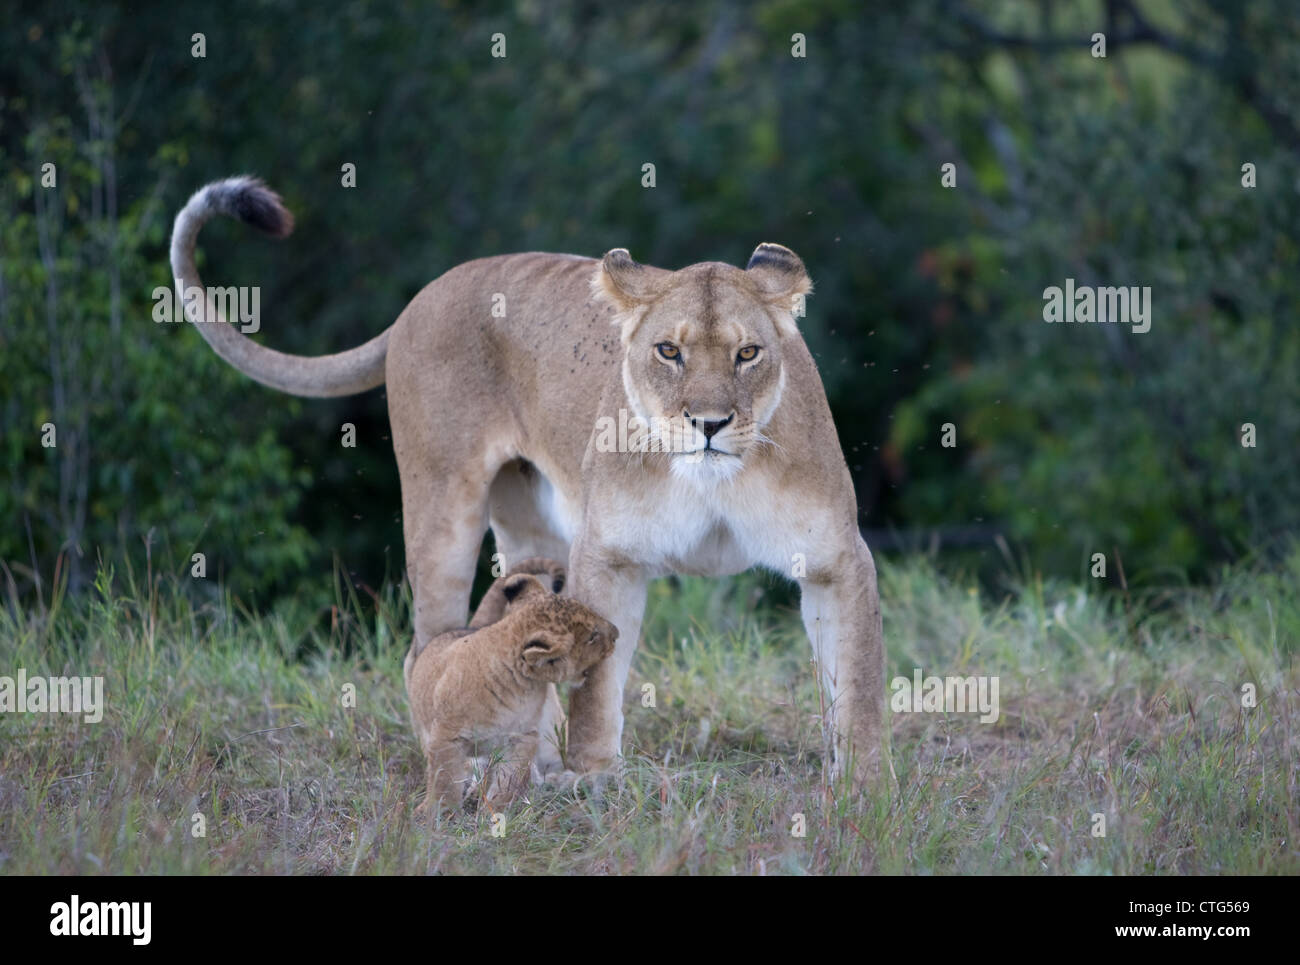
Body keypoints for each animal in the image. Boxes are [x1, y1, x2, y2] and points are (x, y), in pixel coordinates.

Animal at [170, 176, 887, 788]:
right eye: (669, 352)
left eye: (748, 353)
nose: (708, 424)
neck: (711, 480)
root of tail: (420, 298)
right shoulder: (609, 556)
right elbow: (598, 686)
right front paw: (596, 779)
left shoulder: (836, 560)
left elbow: (855, 684)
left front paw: (862, 791)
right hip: (443, 508)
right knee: (425, 650)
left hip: (533, 532)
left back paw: (533, 764)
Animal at [404, 562, 616, 815]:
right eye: (593, 636)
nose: (617, 633)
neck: (517, 684)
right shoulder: (446, 736)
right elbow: (444, 780)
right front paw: (436, 813)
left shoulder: (522, 737)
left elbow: (509, 779)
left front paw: (496, 812)